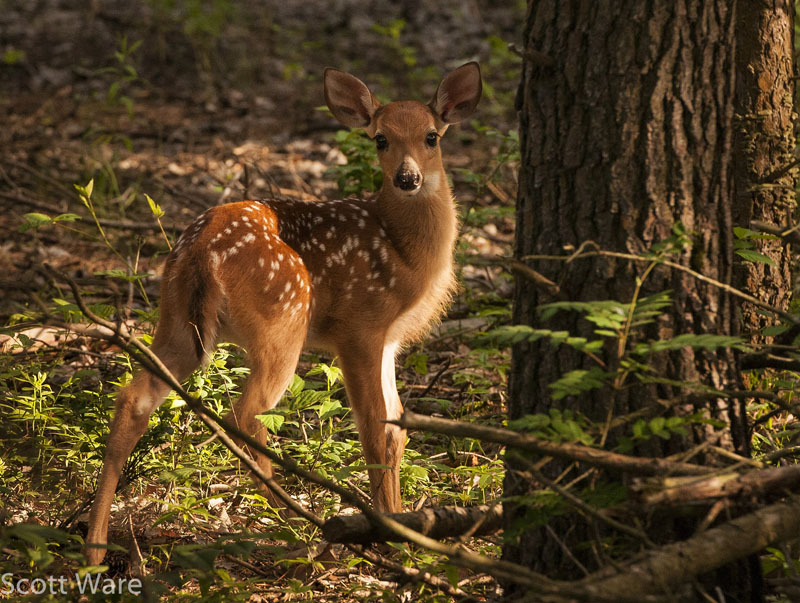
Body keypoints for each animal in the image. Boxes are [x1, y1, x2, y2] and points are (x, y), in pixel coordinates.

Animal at [84, 62, 482, 565]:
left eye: (432, 136)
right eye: (380, 139)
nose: (407, 178)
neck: (404, 251)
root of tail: (201, 250)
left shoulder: (389, 340)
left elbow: (397, 427)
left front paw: (403, 524)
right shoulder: (361, 325)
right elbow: (375, 429)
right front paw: (394, 533)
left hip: (176, 321)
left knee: (134, 398)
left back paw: (95, 546)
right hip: (283, 321)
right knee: (246, 412)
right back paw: (296, 521)